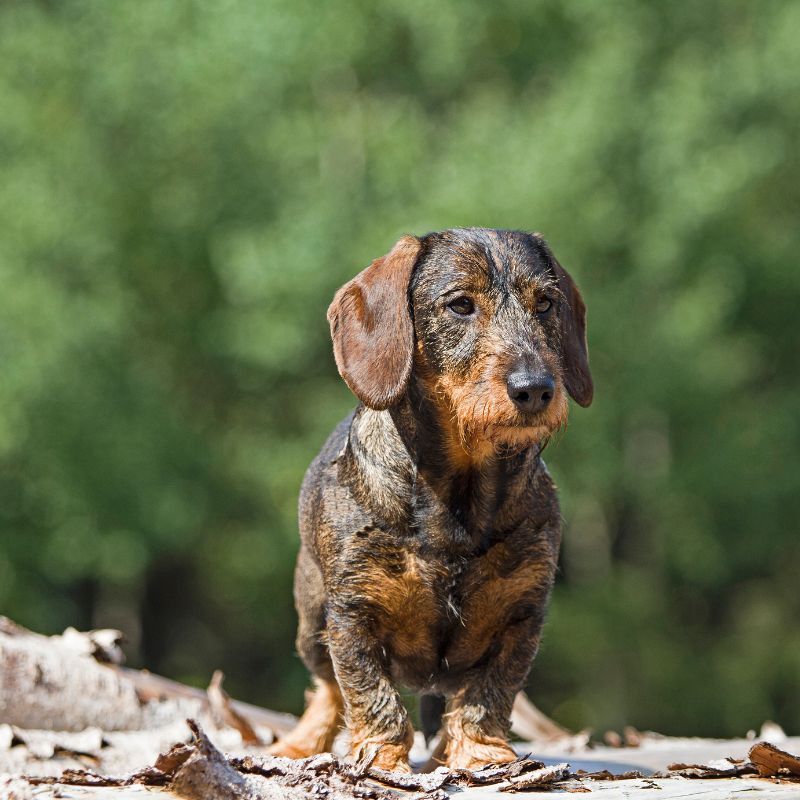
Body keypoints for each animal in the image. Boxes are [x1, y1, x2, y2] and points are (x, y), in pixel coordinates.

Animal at [272, 228, 592, 772]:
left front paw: (482, 752)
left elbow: (489, 692)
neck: (458, 499)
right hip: (312, 620)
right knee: (326, 687)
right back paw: (301, 742)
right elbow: (368, 692)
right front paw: (380, 756)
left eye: (546, 304)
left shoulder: (521, 618)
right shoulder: (352, 614)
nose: (535, 389)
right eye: (460, 304)